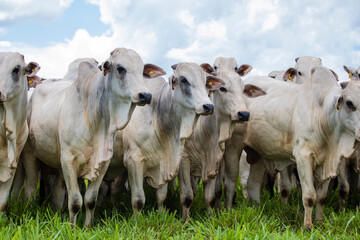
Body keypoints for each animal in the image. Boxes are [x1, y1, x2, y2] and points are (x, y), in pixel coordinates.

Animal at [21, 48, 165, 227]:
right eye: (121, 68)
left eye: (142, 70)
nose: (145, 95)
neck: (95, 117)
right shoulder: (68, 161)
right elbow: (75, 201)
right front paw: (72, 227)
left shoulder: (102, 164)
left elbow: (90, 200)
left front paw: (88, 226)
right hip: (30, 153)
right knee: (31, 185)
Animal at [104, 62, 222, 214]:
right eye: (183, 79)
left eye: (205, 82)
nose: (208, 106)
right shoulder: (133, 162)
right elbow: (138, 200)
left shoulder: (163, 164)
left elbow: (162, 197)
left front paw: (162, 215)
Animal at [243, 67, 358, 229]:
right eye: (349, 102)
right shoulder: (303, 157)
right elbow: (309, 197)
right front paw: (307, 227)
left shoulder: (329, 164)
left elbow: (321, 197)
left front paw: (320, 223)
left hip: (258, 154)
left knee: (253, 183)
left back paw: (257, 211)